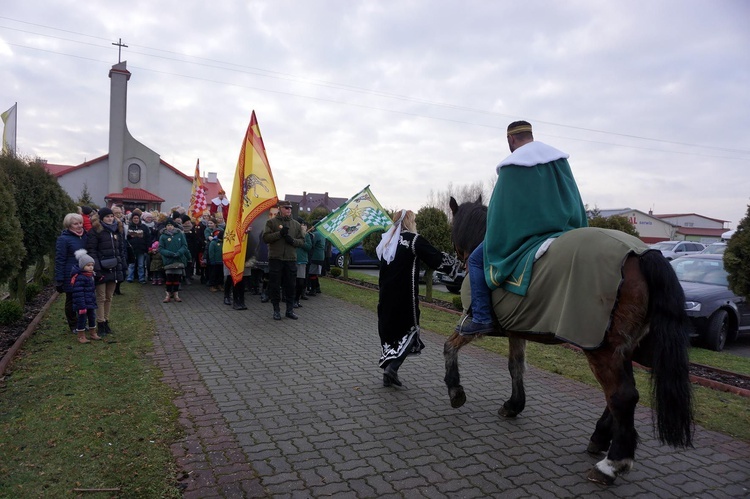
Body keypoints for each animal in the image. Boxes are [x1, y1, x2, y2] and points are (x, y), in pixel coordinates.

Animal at [444, 197, 696, 486]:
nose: (455, 263)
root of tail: (641, 255)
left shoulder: (473, 325)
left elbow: (449, 346)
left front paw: (455, 390)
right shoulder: (517, 330)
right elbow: (515, 367)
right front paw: (513, 405)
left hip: (602, 349)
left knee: (622, 396)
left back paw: (612, 464)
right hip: (622, 348)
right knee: (620, 396)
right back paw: (600, 438)